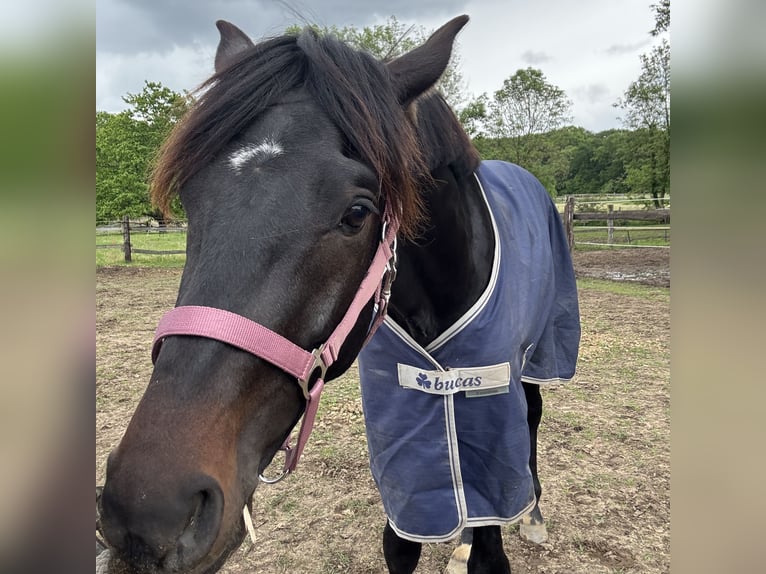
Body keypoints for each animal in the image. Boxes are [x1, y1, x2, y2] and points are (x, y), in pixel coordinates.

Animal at [97, 15, 580, 574]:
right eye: (191, 199)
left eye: (356, 213)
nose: (149, 512)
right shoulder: (405, 450)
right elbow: (402, 542)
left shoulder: (490, 423)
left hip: (539, 357)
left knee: (532, 420)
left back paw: (532, 516)